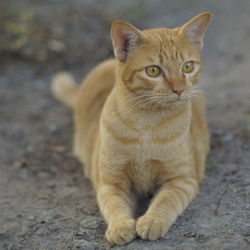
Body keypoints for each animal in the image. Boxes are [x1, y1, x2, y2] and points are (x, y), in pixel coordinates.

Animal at [51, 12, 212, 246]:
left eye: (187, 67)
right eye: (153, 71)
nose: (180, 89)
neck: (146, 123)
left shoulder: (182, 180)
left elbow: (165, 201)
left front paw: (152, 221)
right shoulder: (111, 183)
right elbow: (114, 205)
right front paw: (120, 226)